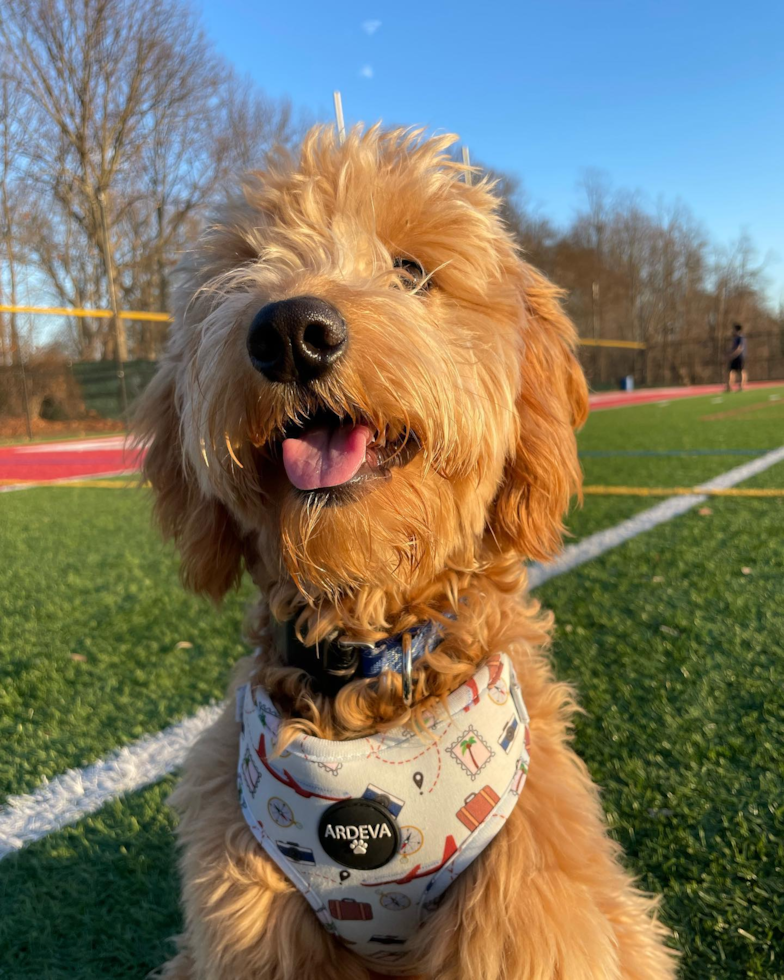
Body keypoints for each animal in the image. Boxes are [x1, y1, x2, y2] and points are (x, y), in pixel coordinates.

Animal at [135, 126, 672, 976]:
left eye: (412, 270)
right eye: (245, 264)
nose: (291, 333)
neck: (366, 656)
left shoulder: (527, 908)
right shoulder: (249, 922)